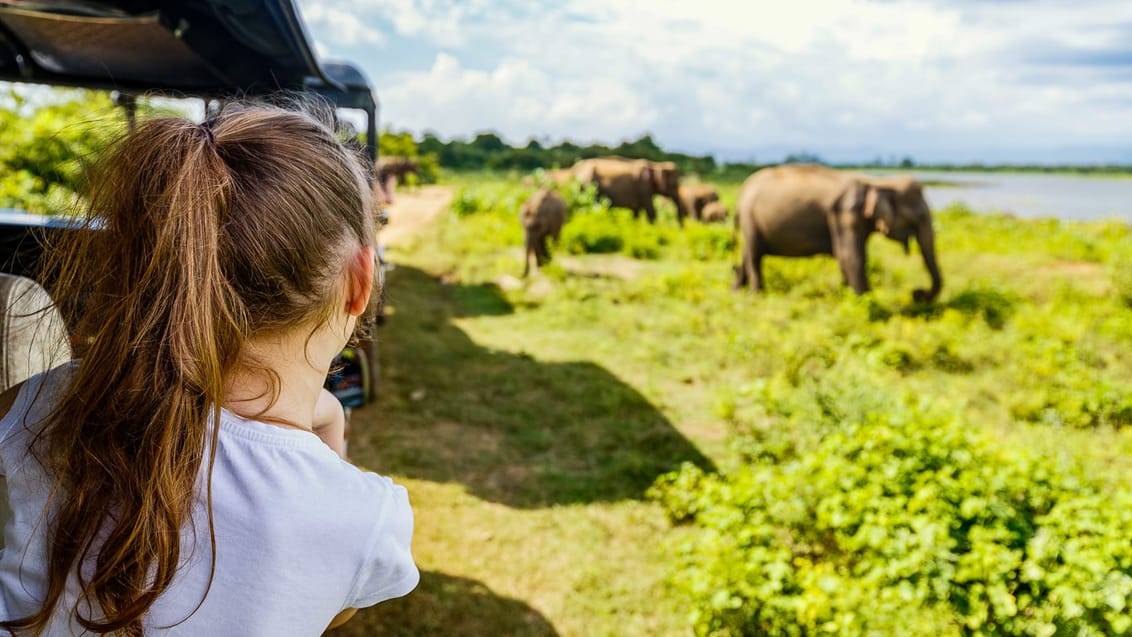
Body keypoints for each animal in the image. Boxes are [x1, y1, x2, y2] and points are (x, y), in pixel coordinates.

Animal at [729, 164, 941, 303]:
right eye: (920, 217)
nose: (917, 293)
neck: (876, 182)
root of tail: (741, 194)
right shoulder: (845, 215)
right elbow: (850, 256)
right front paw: (865, 301)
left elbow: (851, 257)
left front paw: (849, 295)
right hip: (750, 218)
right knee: (754, 255)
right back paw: (756, 294)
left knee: (748, 252)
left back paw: (737, 290)